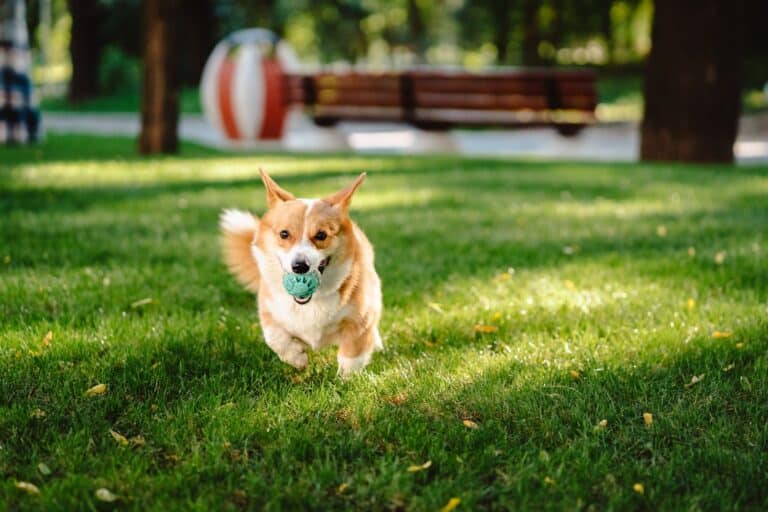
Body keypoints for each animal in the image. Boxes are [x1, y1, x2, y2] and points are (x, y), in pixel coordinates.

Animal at [219, 170, 380, 374]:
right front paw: (296, 358)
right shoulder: (269, 310)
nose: (299, 266)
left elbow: (352, 354)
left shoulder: (360, 320)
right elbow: (274, 337)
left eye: (321, 235)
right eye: (284, 234)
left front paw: (346, 378)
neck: (311, 301)